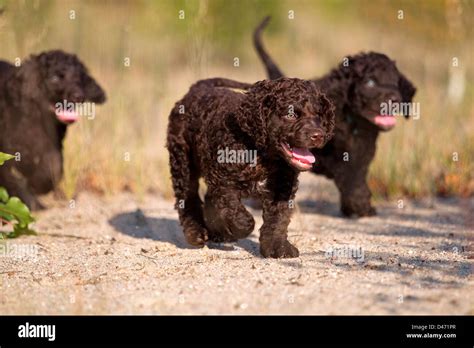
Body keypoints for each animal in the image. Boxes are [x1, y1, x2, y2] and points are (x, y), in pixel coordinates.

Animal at [168, 79, 336, 258]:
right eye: (290, 115)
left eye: (318, 115)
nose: (318, 135)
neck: (262, 153)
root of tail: (197, 88)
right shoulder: (224, 180)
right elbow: (236, 212)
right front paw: (238, 228)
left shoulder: (282, 186)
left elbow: (278, 218)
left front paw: (278, 247)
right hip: (182, 159)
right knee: (188, 196)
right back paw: (196, 233)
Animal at [256, 17, 414, 218]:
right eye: (370, 82)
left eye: (396, 83)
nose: (394, 99)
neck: (355, 124)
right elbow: (350, 178)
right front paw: (361, 206)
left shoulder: (363, 155)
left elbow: (357, 178)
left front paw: (357, 207)